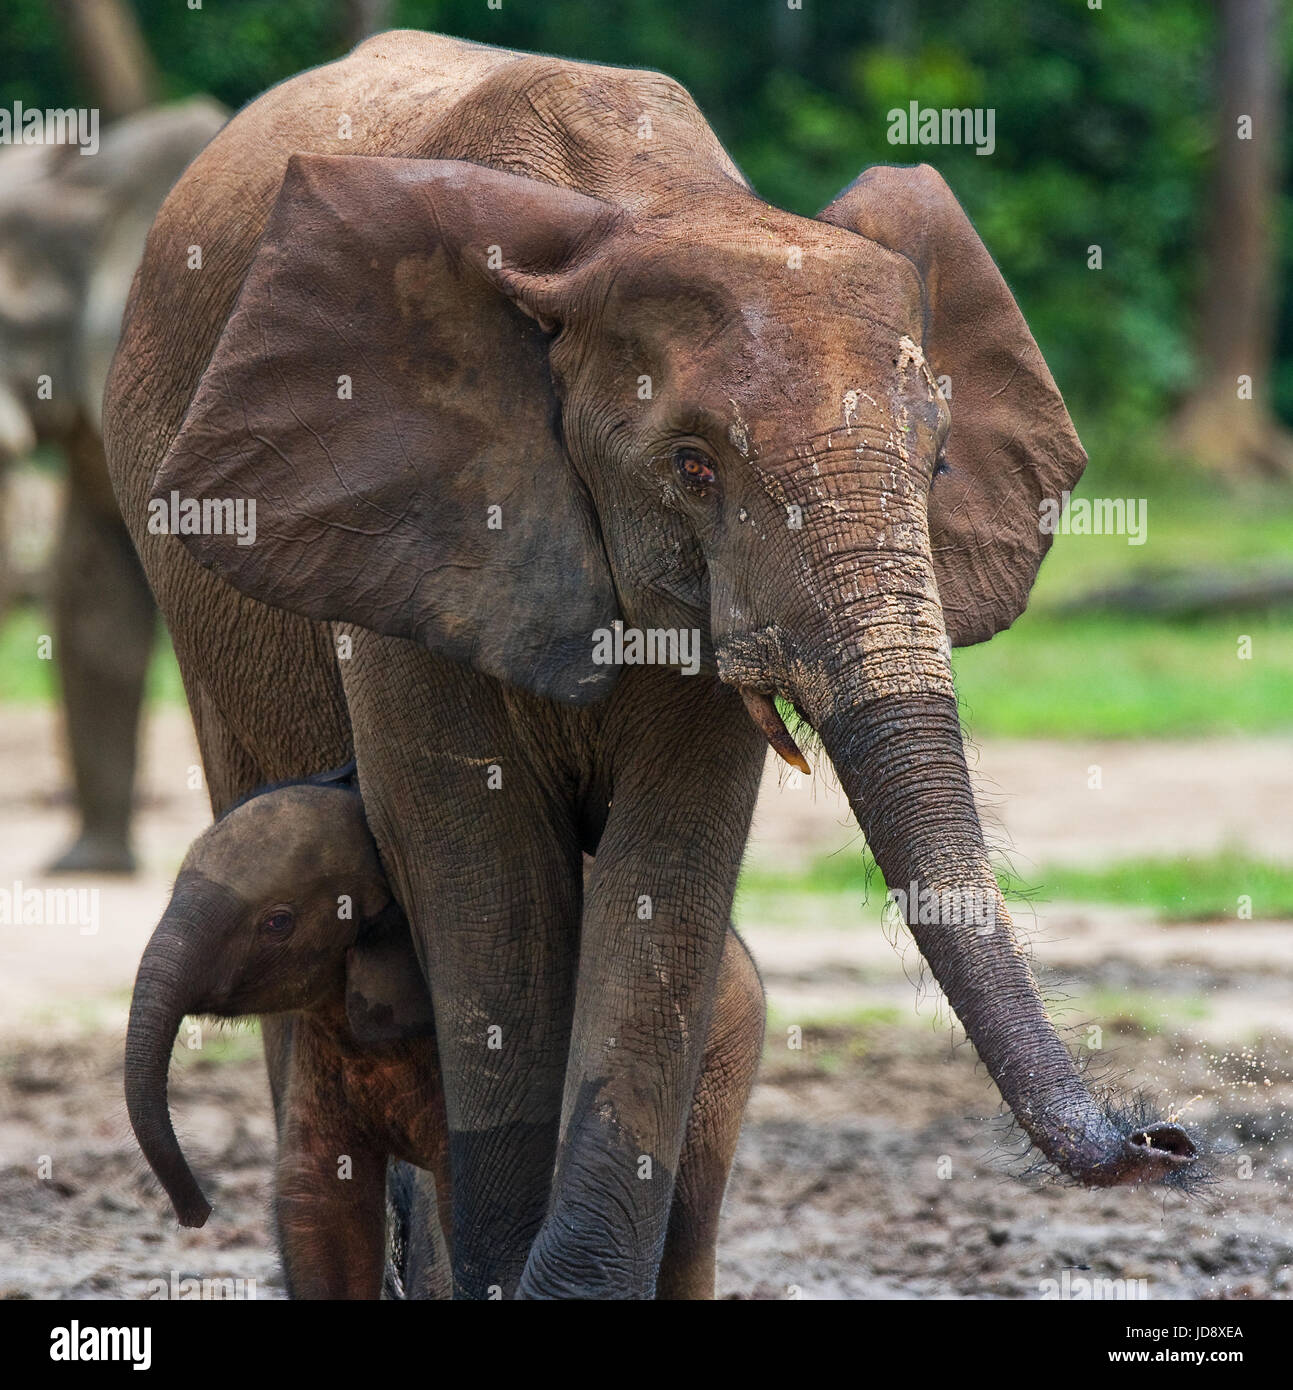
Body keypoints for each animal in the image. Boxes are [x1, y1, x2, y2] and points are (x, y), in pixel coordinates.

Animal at [103, 27, 1201, 1295]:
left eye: (933, 466)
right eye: (693, 468)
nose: (1166, 1139)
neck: (644, 205)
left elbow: (666, 875)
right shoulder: (417, 527)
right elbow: (482, 874)